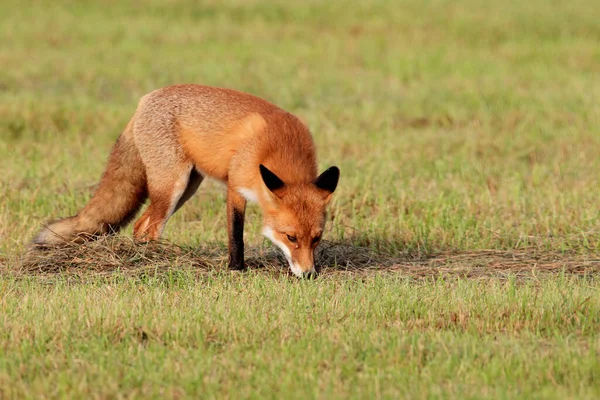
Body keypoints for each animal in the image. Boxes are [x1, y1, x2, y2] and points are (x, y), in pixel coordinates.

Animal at [32, 83, 340, 278]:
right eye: (291, 237)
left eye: (316, 238)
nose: (309, 275)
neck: (278, 147)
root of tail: (145, 100)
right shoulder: (235, 186)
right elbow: (236, 234)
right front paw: (236, 269)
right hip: (172, 187)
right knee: (147, 228)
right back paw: (155, 261)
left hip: (187, 188)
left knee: (141, 227)